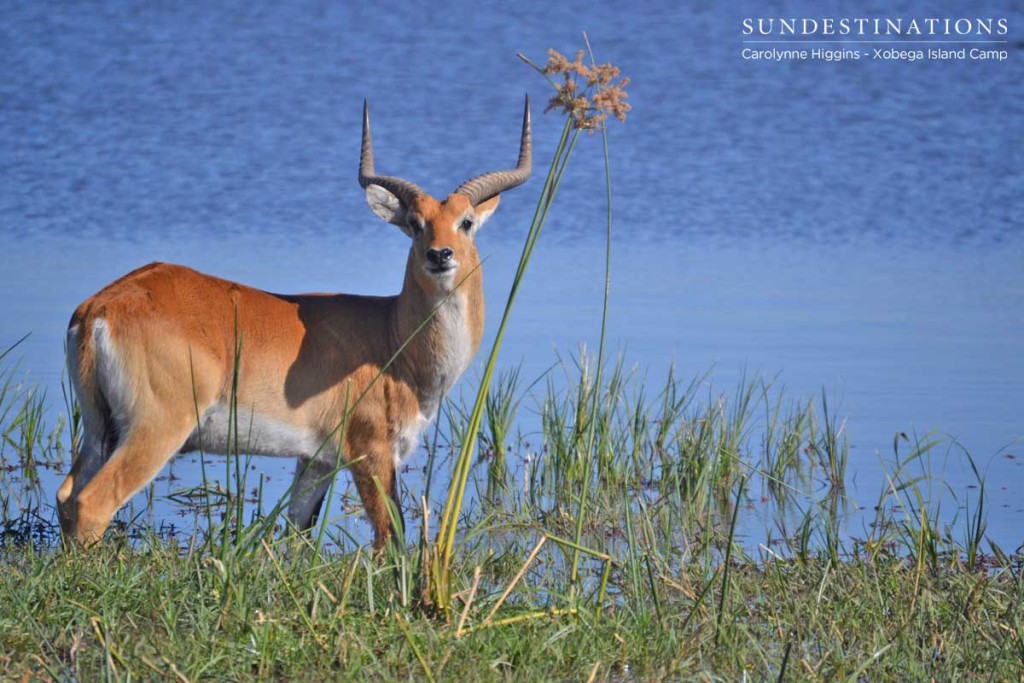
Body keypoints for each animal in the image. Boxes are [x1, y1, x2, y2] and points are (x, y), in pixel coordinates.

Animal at [57, 97, 532, 548]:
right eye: (416, 224)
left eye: (465, 222)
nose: (440, 254)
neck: (393, 337)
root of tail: (99, 306)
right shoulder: (371, 451)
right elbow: (390, 536)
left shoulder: (317, 460)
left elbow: (296, 530)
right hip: (156, 429)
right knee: (93, 502)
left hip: (100, 430)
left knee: (66, 496)